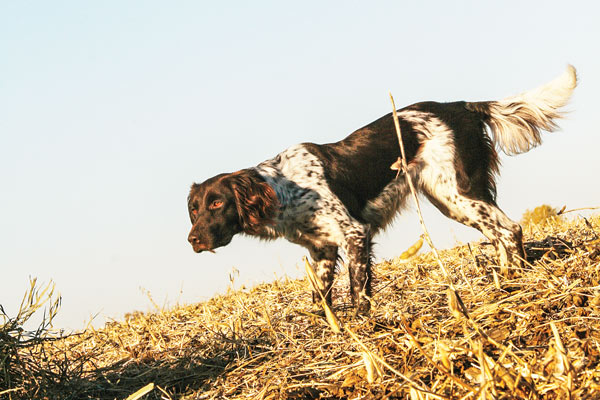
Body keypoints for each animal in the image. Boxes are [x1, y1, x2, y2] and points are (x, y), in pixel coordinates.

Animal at [186, 65, 576, 310]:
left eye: (218, 204)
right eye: (194, 208)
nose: (193, 240)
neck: (284, 188)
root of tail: (463, 106)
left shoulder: (354, 233)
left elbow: (358, 290)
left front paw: (362, 325)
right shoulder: (322, 249)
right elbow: (321, 299)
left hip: (460, 192)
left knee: (510, 230)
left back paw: (517, 280)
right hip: (450, 200)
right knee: (499, 234)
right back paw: (503, 282)